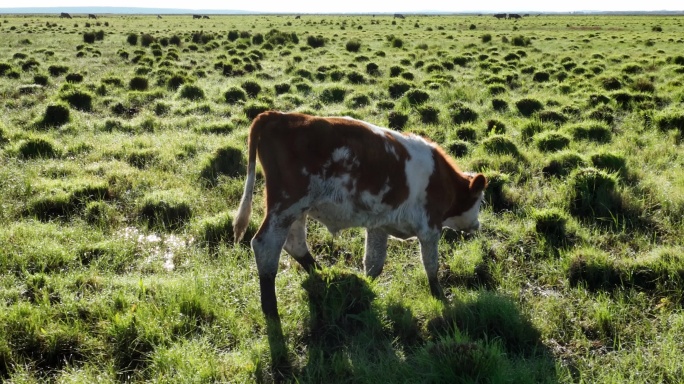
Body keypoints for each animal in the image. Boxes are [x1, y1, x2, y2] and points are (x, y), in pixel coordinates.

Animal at [234, 112, 486, 320]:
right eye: (480, 201)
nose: (477, 225)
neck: (442, 179)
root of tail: (276, 115)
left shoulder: (379, 225)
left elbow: (374, 262)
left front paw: (364, 288)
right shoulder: (429, 228)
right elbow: (431, 266)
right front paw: (440, 297)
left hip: (296, 210)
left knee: (294, 243)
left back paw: (324, 274)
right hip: (286, 205)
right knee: (266, 246)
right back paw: (271, 310)